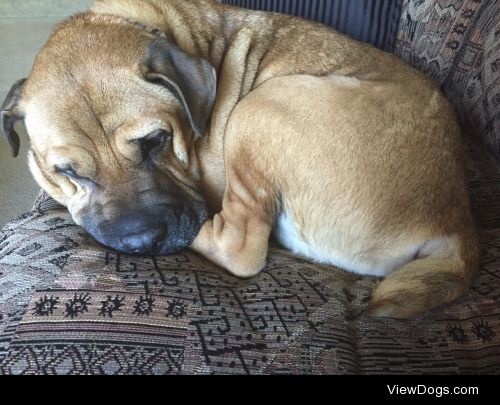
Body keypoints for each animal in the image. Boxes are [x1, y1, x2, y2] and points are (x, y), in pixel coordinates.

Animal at [0, 0, 478, 318]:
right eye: (66, 172)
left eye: (156, 141)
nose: (140, 242)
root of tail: (456, 223)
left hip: (261, 107)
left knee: (241, 248)